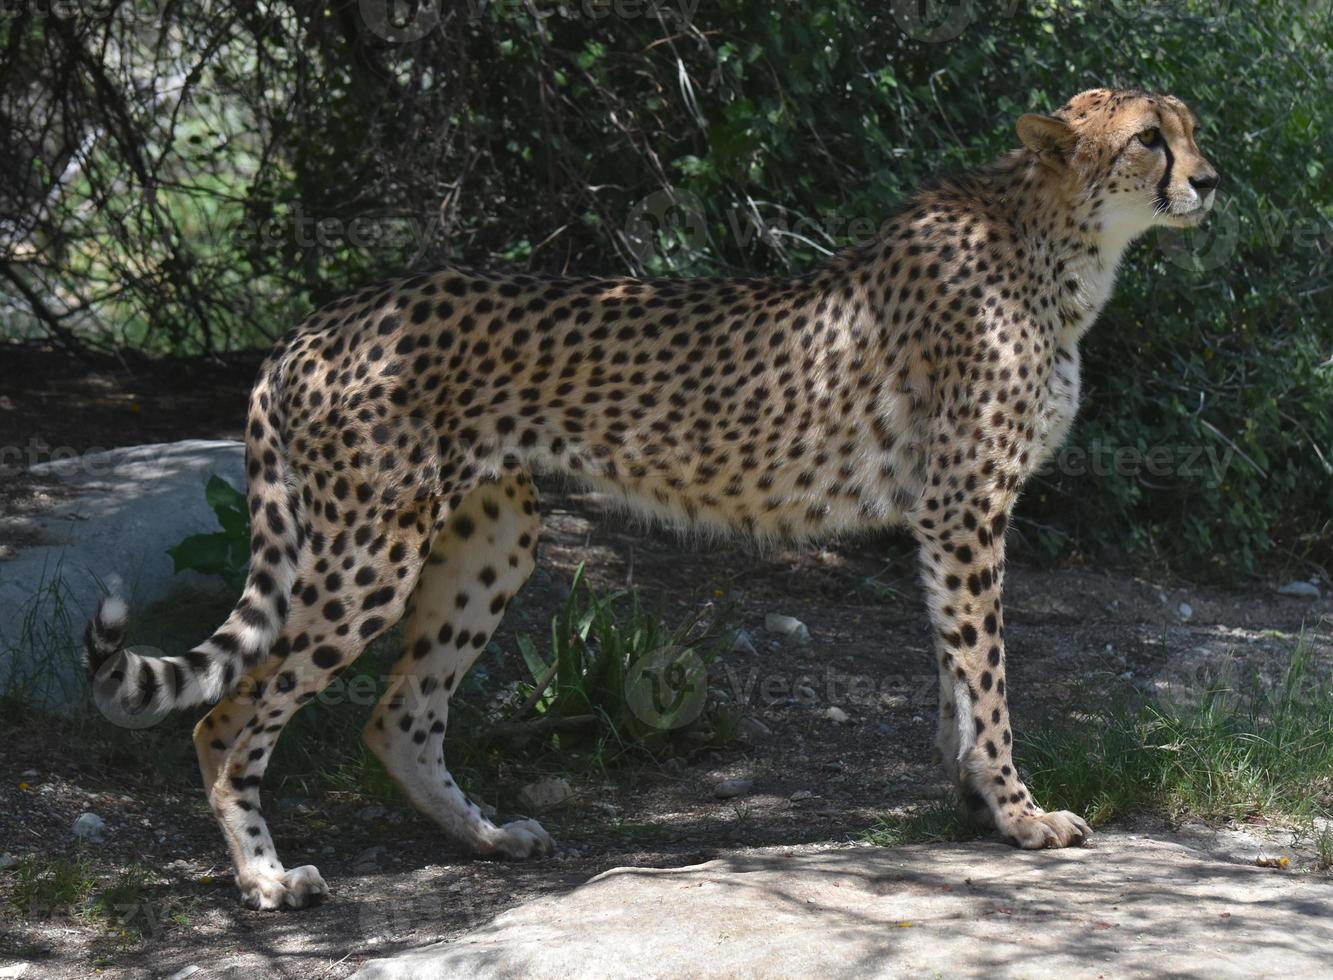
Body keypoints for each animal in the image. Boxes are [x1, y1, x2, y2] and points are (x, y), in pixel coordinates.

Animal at [85, 88, 1221, 906]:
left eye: (1190, 127)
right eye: (1146, 139)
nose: (1211, 180)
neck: (1057, 242)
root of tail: (319, 321)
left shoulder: (949, 518)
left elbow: (957, 670)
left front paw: (971, 799)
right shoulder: (966, 508)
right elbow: (986, 674)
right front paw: (1020, 814)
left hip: (491, 534)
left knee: (398, 712)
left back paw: (487, 835)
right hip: (369, 549)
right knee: (226, 715)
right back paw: (265, 877)